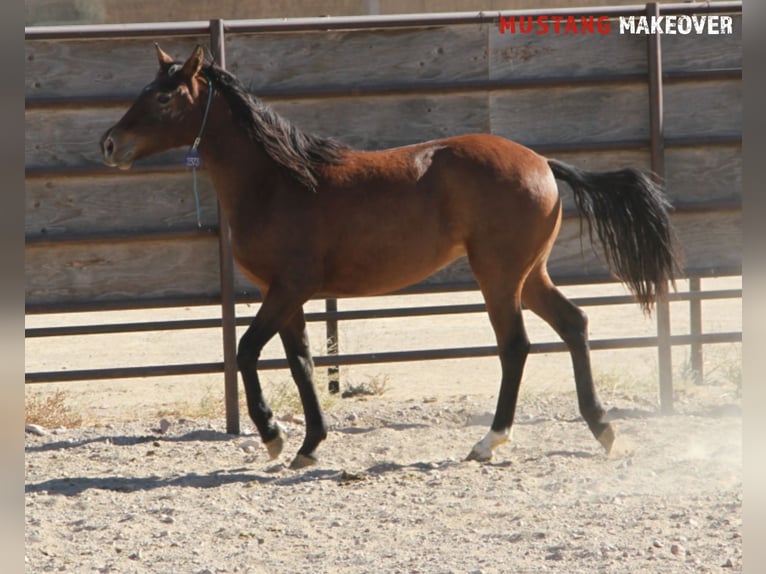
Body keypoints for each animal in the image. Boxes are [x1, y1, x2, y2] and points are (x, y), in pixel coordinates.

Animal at [100, 45, 680, 468]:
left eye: (165, 98)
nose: (109, 144)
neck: (280, 181)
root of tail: (541, 162)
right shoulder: (287, 296)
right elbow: (303, 362)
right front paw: (309, 445)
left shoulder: (287, 289)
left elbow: (246, 352)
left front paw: (272, 435)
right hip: (529, 274)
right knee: (575, 324)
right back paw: (603, 429)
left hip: (498, 276)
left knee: (516, 345)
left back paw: (490, 442)